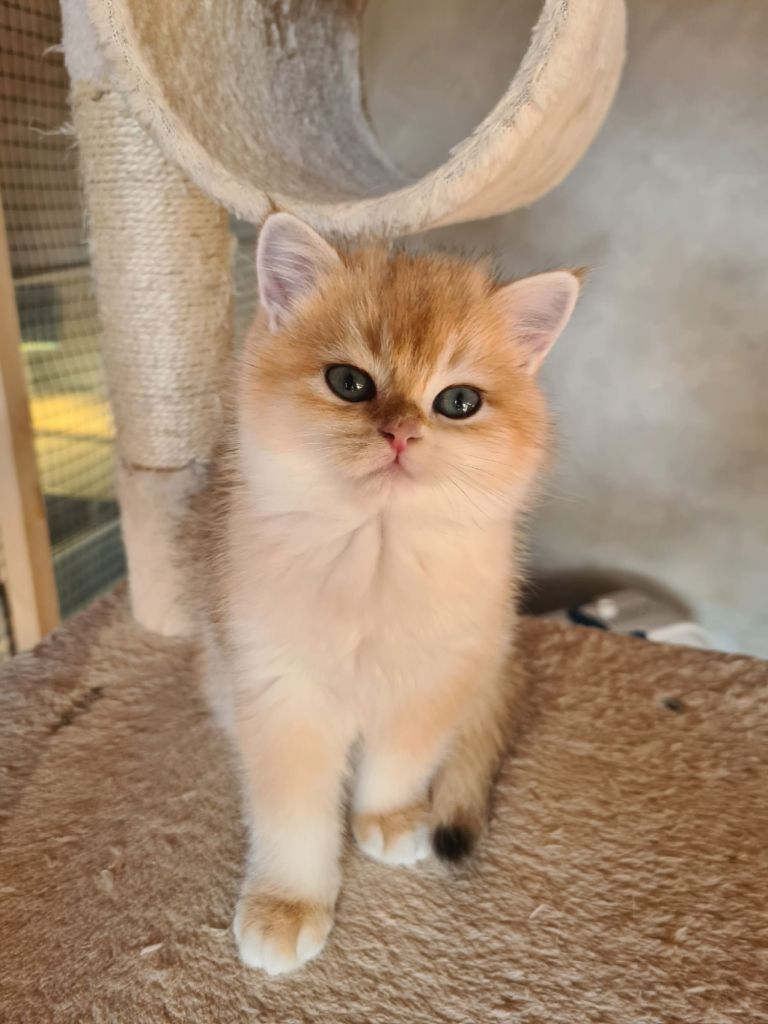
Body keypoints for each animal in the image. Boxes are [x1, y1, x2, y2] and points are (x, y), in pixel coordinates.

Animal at [188, 212, 580, 975]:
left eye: (459, 402)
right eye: (350, 382)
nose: (401, 432)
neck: (375, 556)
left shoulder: (437, 679)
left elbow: (399, 763)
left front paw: (389, 819)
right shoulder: (283, 696)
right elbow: (294, 815)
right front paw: (288, 903)